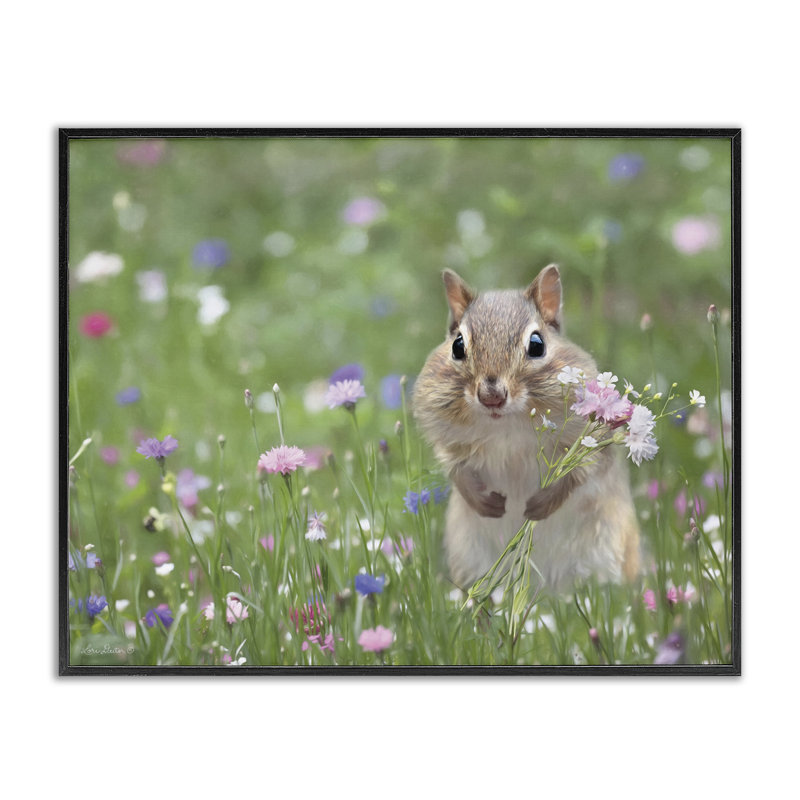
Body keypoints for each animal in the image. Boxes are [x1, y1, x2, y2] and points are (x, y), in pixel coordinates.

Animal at [413, 265, 640, 591]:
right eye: (457, 345)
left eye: (537, 345)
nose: (491, 396)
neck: (505, 426)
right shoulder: (448, 440)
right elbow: (455, 469)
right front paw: (486, 503)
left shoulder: (590, 442)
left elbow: (580, 473)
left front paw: (538, 506)